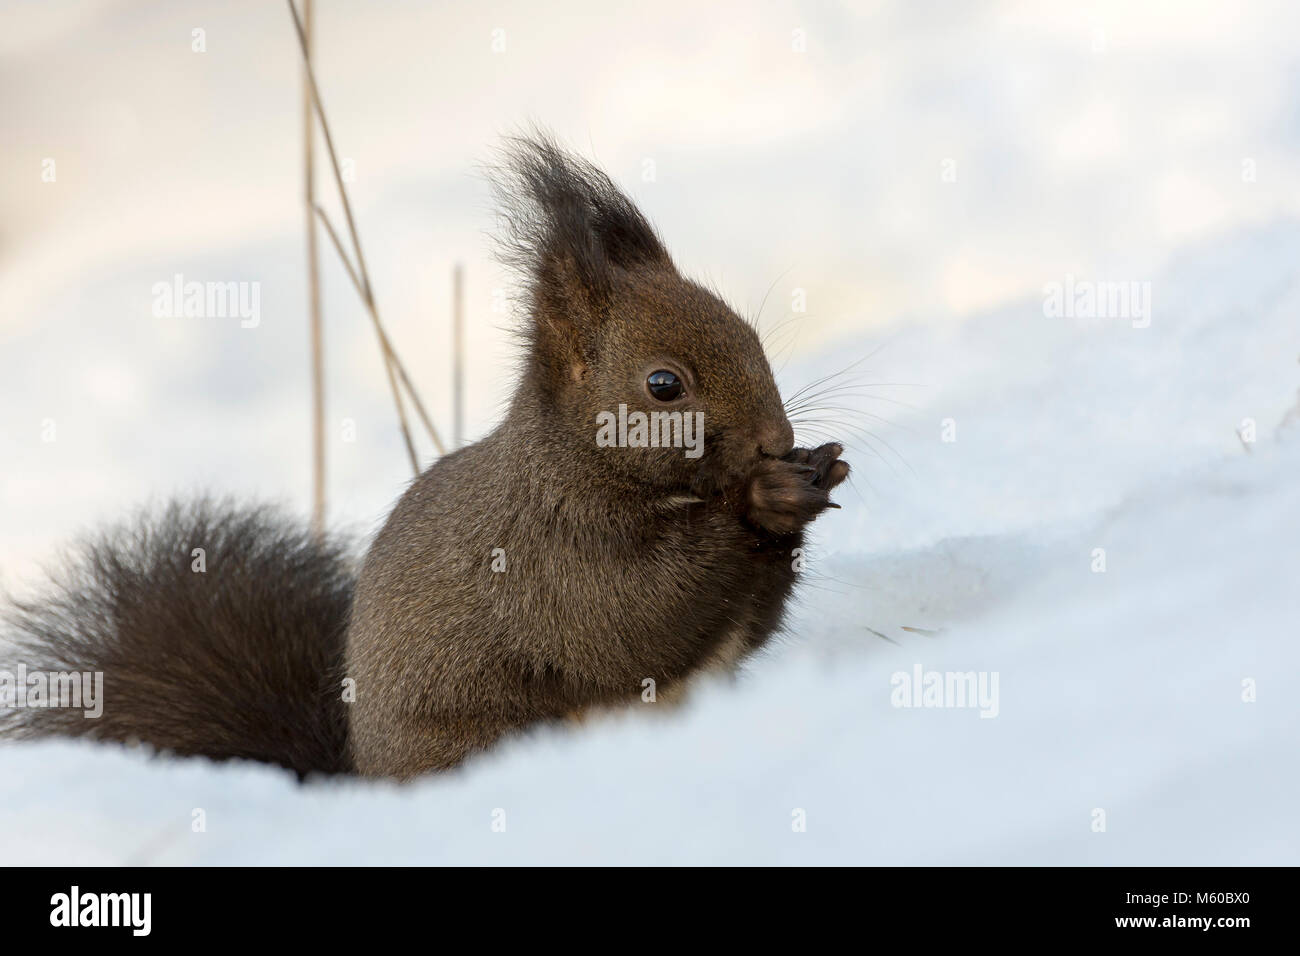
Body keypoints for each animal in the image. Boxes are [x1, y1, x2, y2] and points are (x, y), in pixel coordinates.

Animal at [0, 132, 847, 780]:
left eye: (750, 333)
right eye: (664, 385)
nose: (775, 441)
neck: (580, 463)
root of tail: (365, 780)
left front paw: (819, 468)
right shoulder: (549, 558)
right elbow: (630, 618)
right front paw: (764, 498)